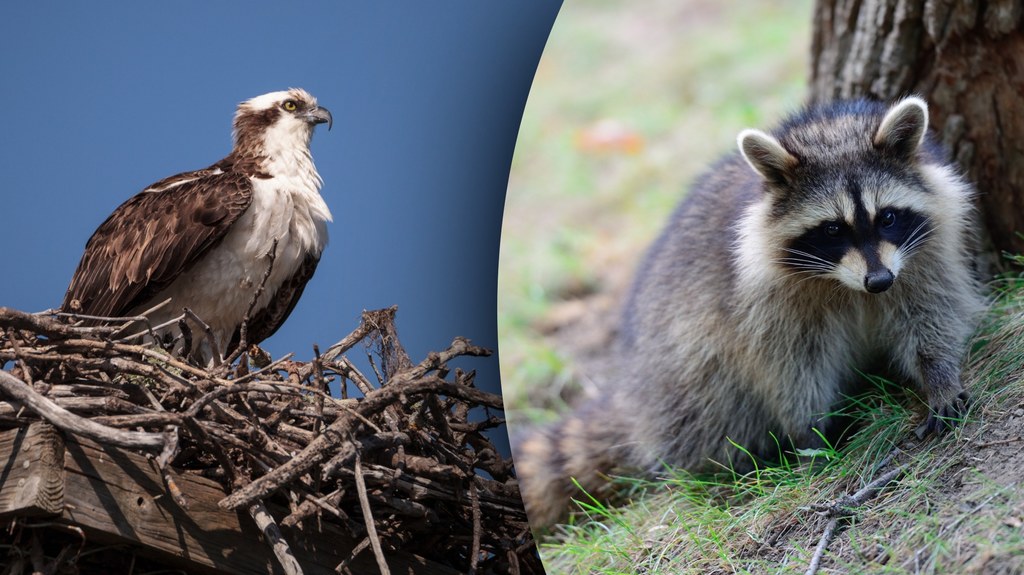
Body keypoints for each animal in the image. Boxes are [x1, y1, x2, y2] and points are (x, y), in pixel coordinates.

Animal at [516, 96, 987, 527]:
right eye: (833, 229)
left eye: (887, 217)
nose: (879, 281)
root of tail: (634, 398)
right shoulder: (765, 301)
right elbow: (790, 366)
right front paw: (811, 429)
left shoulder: (923, 255)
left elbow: (931, 314)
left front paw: (938, 375)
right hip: (680, 366)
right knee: (711, 397)